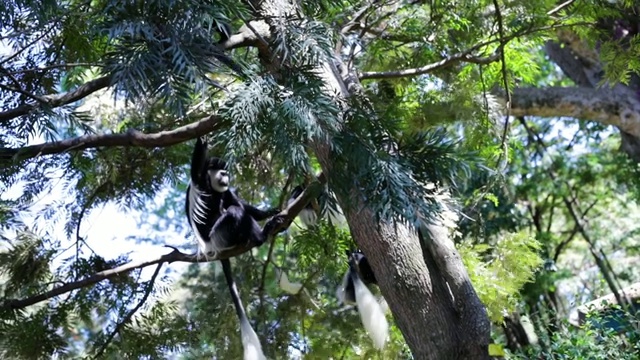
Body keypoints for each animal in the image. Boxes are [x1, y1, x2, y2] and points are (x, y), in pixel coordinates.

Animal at [185, 137, 284, 360]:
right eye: (221, 173)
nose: (226, 177)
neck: (213, 188)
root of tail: (210, 247)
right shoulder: (200, 181)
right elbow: (195, 170)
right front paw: (203, 139)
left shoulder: (225, 190)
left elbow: (239, 202)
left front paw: (268, 212)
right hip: (220, 236)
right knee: (234, 212)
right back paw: (261, 236)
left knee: (236, 207)